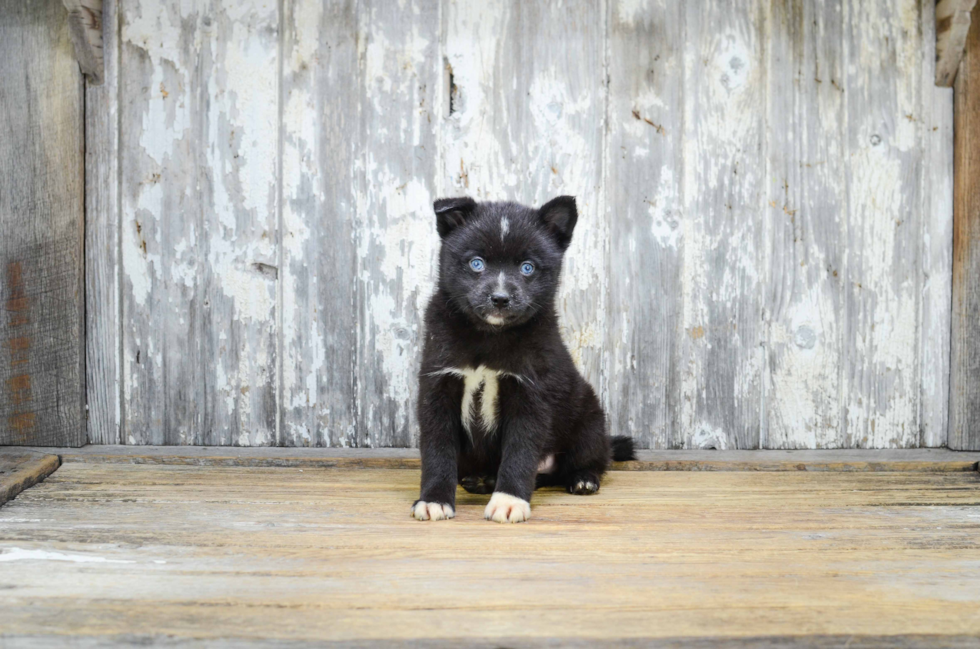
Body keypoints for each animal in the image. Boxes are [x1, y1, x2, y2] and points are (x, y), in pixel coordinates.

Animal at [412, 194, 636, 520]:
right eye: (476, 263)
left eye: (527, 268)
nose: (500, 299)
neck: (489, 337)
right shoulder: (438, 385)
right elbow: (437, 449)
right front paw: (434, 499)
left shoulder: (531, 392)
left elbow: (520, 450)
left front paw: (508, 500)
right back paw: (481, 480)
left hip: (590, 420)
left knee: (589, 459)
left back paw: (583, 479)